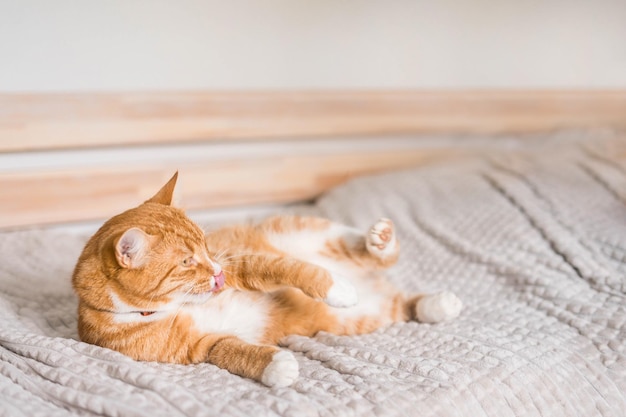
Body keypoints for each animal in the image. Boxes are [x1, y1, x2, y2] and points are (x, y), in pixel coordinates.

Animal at [74, 173, 464, 386]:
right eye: (186, 261)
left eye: (206, 246)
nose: (217, 272)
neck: (171, 307)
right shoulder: (199, 346)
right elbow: (231, 351)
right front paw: (275, 366)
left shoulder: (245, 264)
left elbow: (294, 270)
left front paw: (336, 287)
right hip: (366, 316)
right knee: (402, 305)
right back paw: (437, 304)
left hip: (310, 230)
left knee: (367, 250)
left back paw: (379, 242)